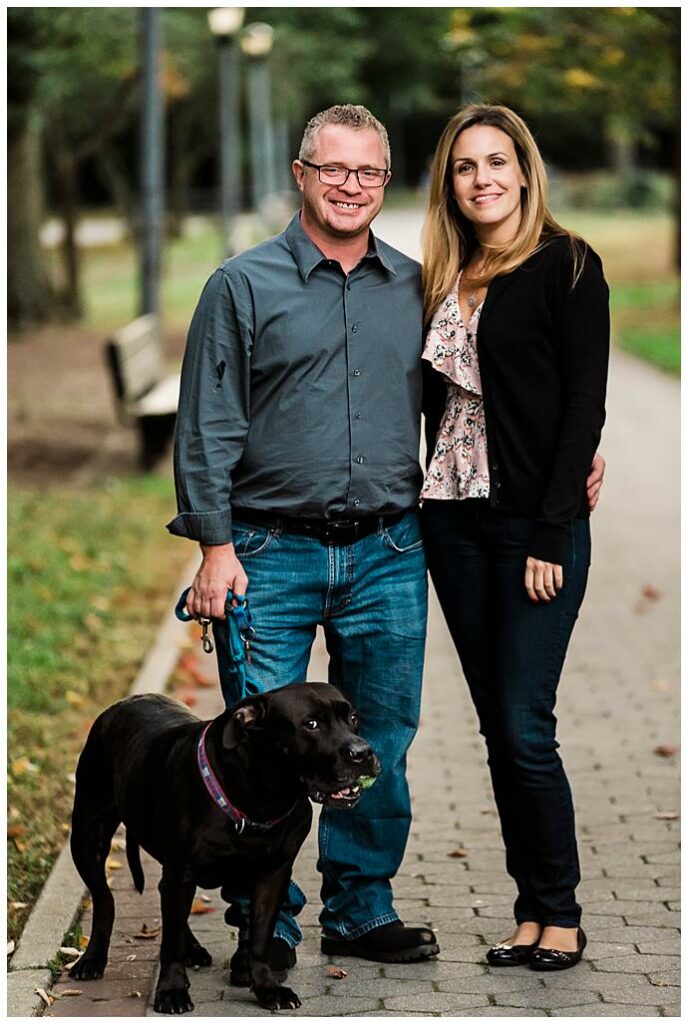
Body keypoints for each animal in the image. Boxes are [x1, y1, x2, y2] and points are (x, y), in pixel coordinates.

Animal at [69, 684, 378, 1011]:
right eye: (312, 724)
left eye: (354, 718)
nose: (363, 752)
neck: (262, 797)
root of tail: (125, 702)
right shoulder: (181, 873)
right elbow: (170, 943)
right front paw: (172, 990)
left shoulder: (272, 877)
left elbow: (259, 939)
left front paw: (267, 988)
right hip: (87, 838)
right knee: (105, 900)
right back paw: (92, 959)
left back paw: (192, 948)